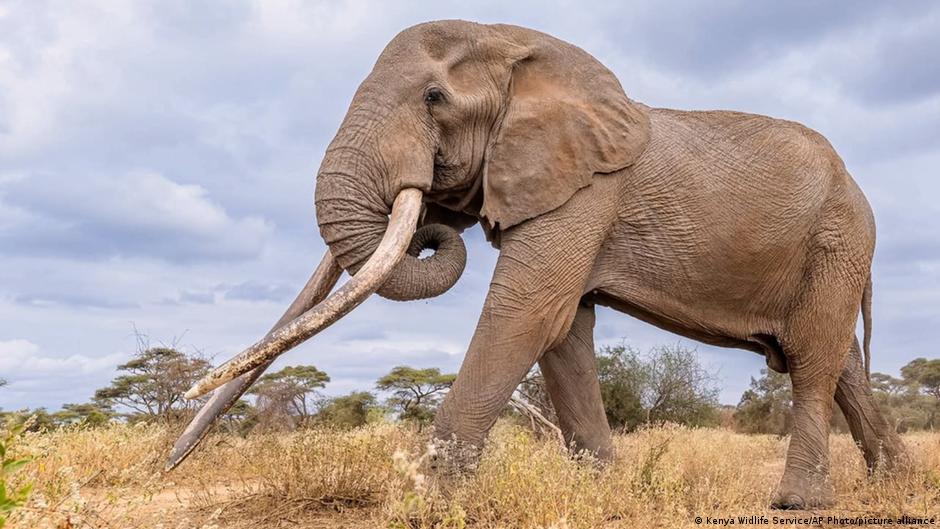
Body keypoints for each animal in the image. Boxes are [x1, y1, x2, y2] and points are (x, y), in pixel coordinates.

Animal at [170, 20, 908, 510]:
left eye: (433, 98)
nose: (166, 462)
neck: (517, 47)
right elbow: (564, 333)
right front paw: (606, 493)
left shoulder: (586, 191)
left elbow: (527, 313)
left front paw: (426, 502)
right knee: (839, 361)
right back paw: (894, 480)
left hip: (838, 239)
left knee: (811, 359)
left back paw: (799, 504)